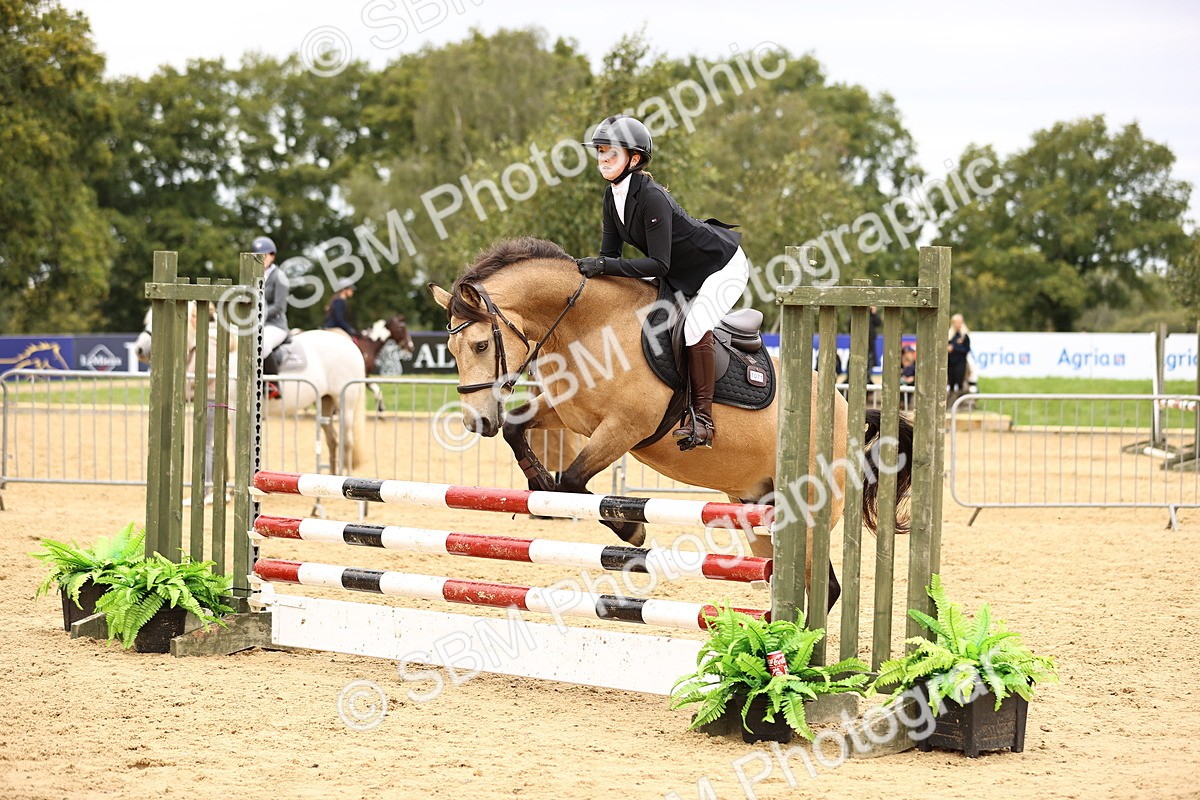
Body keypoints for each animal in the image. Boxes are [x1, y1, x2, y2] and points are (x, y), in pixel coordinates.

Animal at [136, 306, 369, 474]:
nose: (139, 350)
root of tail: (351, 345)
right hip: (326, 402)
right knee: (333, 441)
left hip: (346, 404)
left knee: (348, 442)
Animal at [429, 238, 913, 607]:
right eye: (450, 351)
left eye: (478, 345)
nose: (476, 422)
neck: (589, 326)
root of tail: (845, 412)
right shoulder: (567, 413)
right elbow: (518, 431)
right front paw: (538, 485)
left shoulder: (624, 429)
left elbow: (573, 480)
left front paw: (631, 527)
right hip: (757, 507)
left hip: (809, 509)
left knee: (823, 586)